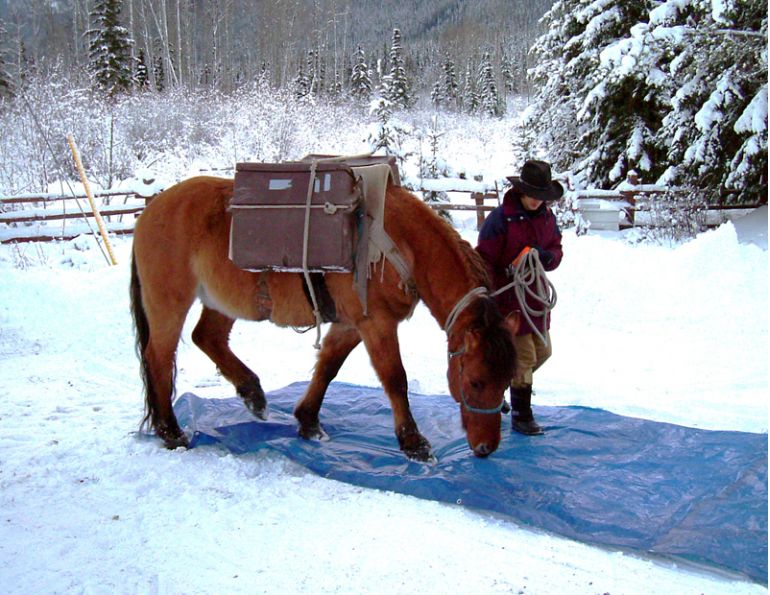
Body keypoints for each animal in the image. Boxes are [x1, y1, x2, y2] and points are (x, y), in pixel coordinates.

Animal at [130, 175, 517, 461]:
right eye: (476, 382)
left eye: (506, 381)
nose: (486, 448)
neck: (400, 244)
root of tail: (151, 210)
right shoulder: (376, 323)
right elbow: (395, 379)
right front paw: (413, 442)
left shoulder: (350, 324)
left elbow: (328, 367)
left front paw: (308, 422)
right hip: (169, 302)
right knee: (159, 358)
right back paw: (172, 431)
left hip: (224, 301)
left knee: (207, 337)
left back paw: (253, 394)